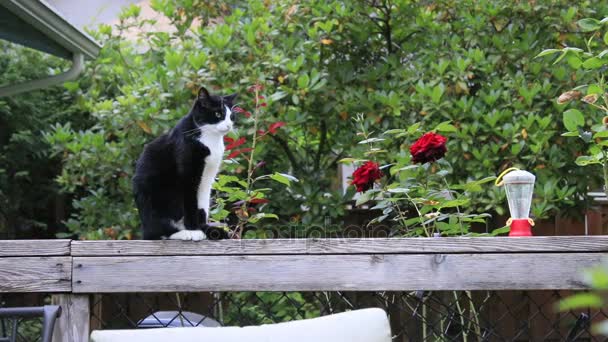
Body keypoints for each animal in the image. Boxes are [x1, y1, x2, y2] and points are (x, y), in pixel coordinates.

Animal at [133, 86, 235, 240]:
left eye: (231, 116)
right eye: (218, 114)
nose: (229, 125)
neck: (209, 139)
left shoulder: (206, 179)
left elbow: (202, 205)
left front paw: (202, 227)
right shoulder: (188, 176)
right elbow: (190, 203)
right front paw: (194, 230)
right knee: (157, 233)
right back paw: (183, 233)